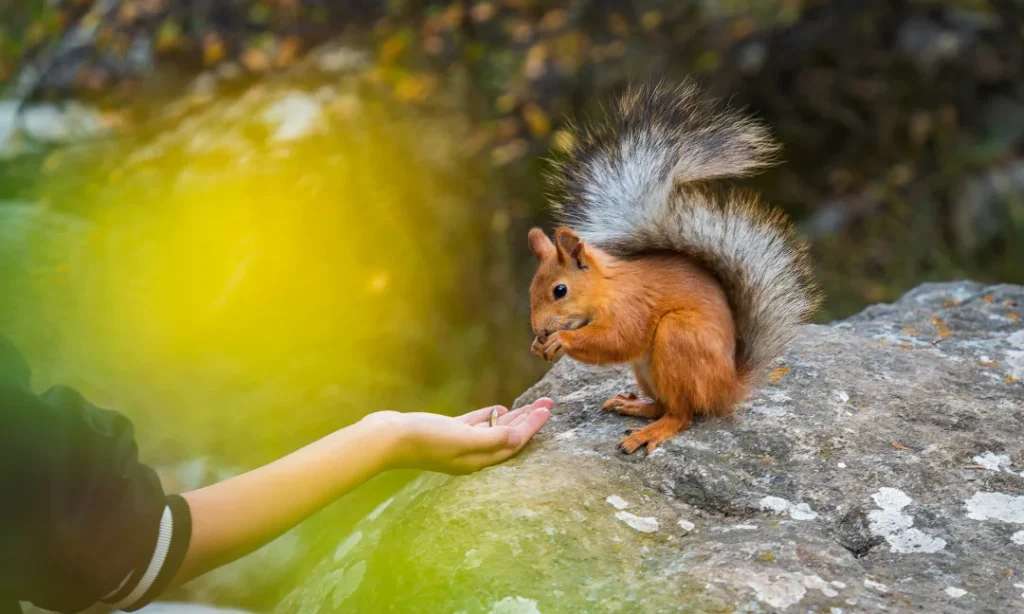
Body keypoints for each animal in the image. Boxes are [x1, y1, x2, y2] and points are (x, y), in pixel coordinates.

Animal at [532, 81, 819, 452]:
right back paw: (635, 406)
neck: (607, 288)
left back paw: (651, 432)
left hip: (677, 337)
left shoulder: (632, 306)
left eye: (560, 290)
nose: (539, 330)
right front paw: (540, 345)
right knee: (665, 405)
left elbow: (618, 339)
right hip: (648, 370)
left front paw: (560, 340)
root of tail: (727, 388)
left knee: (682, 414)